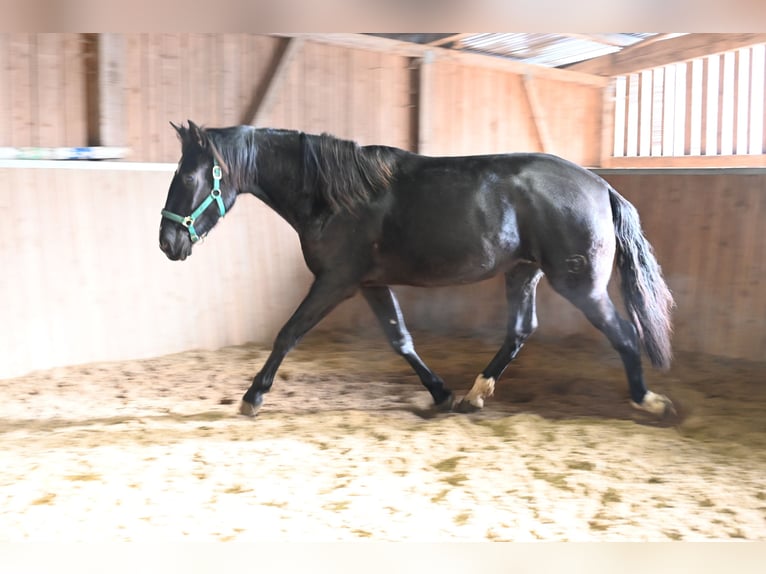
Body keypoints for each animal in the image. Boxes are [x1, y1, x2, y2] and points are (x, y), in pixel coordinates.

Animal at [159, 121, 675, 418]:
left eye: (188, 176)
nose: (168, 242)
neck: (336, 197)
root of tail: (602, 187)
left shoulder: (334, 282)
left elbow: (287, 334)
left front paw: (253, 397)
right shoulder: (369, 283)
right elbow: (400, 339)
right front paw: (440, 393)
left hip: (580, 284)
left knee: (624, 333)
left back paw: (649, 401)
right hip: (523, 272)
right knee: (520, 331)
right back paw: (473, 394)